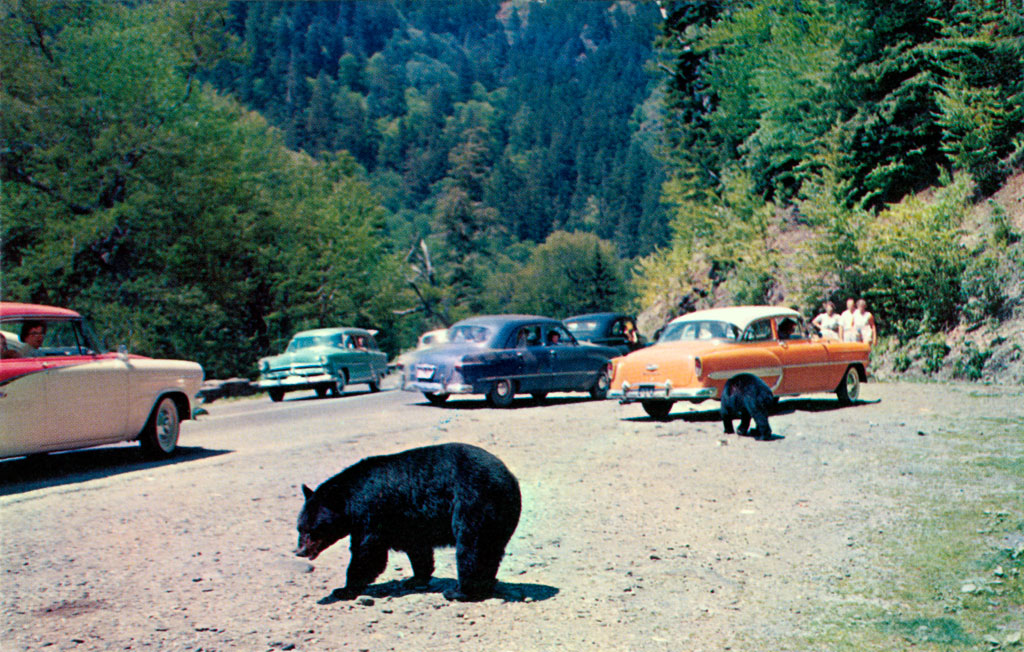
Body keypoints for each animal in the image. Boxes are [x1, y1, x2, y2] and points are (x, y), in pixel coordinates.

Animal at [296, 442, 520, 601]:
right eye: (299, 528)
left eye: (312, 529)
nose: (300, 551)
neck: (351, 497)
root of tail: (510, 478)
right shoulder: (409, 520)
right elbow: (418, 549)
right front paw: (415, 579)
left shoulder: (372, 514)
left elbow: (367, 553)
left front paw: (344, 589)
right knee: (488, 551)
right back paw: (486, 585)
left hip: (474, 504)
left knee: (471, 547)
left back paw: (459, 592)